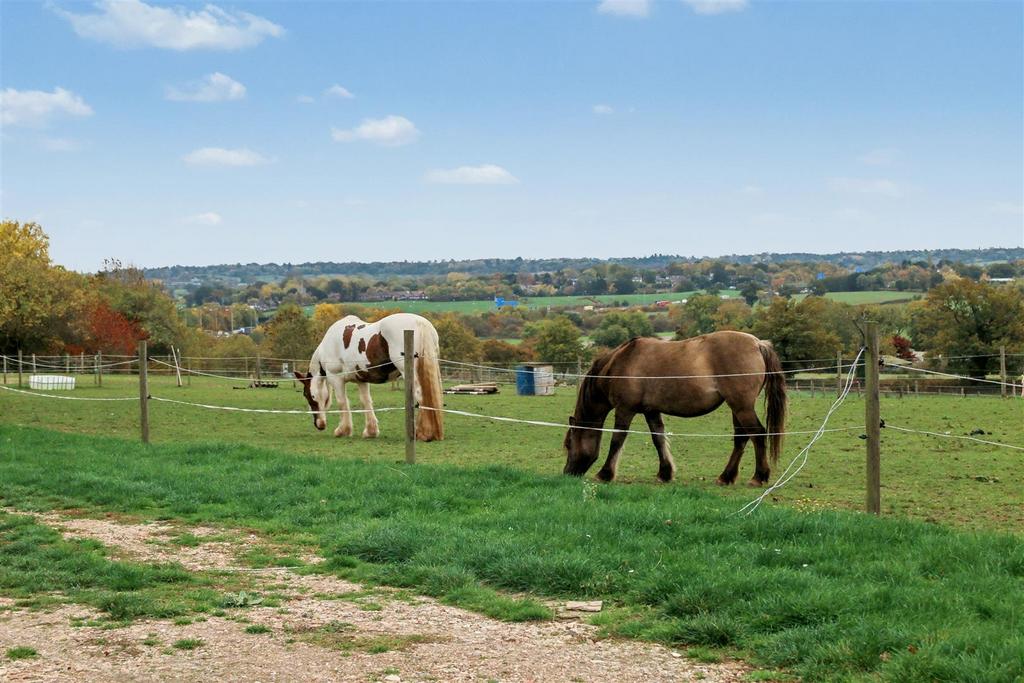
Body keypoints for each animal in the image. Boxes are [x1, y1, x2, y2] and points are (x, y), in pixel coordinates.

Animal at [295, 312, 444, 441]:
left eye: (306, 394)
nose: (319, 425)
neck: (329, 344)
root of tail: (420, 322)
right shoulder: (362, 380)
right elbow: (366, 401)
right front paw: (370, 432)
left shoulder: (336, 378)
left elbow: (342, 402)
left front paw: (342, 430)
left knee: (420, 395)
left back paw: (423, 433)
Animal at [563, 330, 786, 485]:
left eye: (568, 444)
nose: (567, 473)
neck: (620, 363)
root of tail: (757, 344)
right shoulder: (651, 411)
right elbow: (658, 439)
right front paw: (665, 473)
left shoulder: (625, 410)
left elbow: (617, 441)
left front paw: (605, 474)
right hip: (737, 408)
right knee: (741, 438)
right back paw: (726, 477)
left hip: (741, 407)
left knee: (757, 434)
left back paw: (759, 477)